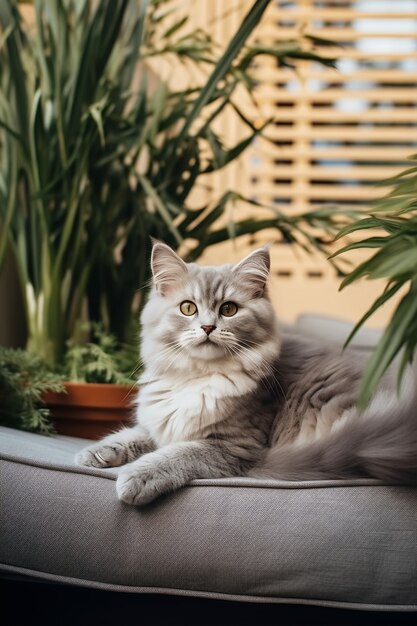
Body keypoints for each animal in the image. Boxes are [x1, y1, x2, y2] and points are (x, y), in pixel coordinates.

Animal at [75, 239, 416, 502]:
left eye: (228, 309)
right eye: (188, 308)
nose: (208, 327)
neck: (198, 376)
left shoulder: (234, 446)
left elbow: (175, 454)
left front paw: (136, 477)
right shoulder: (161, 422)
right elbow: (132, 434)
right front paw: (95, 453)